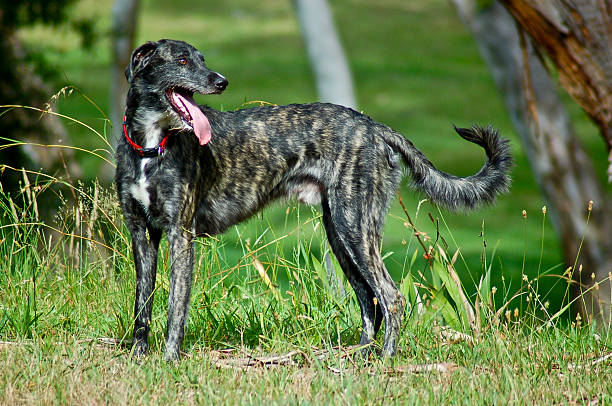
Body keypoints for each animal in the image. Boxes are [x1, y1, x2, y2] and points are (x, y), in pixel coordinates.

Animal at [115, 38, 512, 362]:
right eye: (182, 60)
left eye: (202, 59)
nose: (221, 81)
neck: (152, 146)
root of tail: (373, 126)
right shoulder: (141, 234)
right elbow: (142, 304)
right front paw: (138, 356)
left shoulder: (181, 236)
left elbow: (175, 306)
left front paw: (170, 359)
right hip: (340, 233)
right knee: (369, 300)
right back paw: (357, 355)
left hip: (355, 228)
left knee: (390, 296)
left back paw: (385, 359)